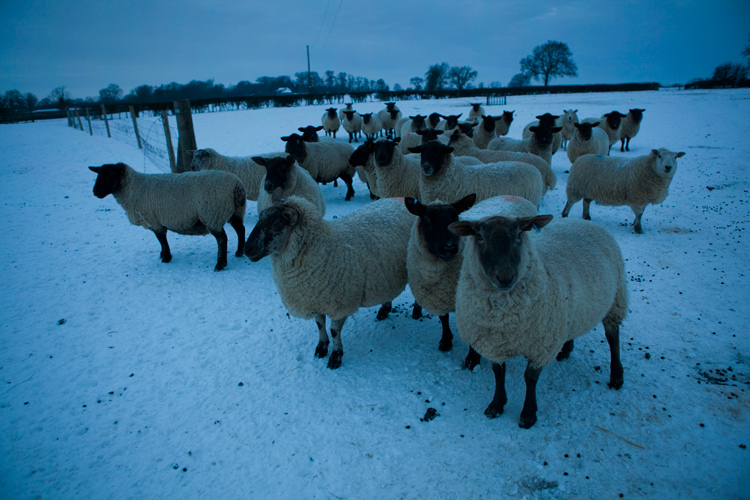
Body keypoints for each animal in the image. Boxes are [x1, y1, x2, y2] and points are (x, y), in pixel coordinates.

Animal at [89, 162, 246, 271]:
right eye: (99, 174)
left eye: (110, 174)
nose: (95, 192)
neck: (132, 189)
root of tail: (236, 185)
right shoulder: (155, 221)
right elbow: (161, 241)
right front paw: (162, 254)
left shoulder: (154, 221)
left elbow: (162, 239)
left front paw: (165, 258)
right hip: (235, 212)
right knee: (240, 230)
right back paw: (239, 252)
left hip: (213, 215)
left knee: (222, 239)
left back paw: (220, 264)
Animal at [244, 196, 413, 369]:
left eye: (277, 224)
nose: (247, 249)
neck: (323, 249)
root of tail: (401, 198)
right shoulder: (315, 300)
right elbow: (319, 325)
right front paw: (321, 347)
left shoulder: (340, 304)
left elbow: (334, 331)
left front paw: (336, 356)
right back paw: (384, 310)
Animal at [404, 194, 537, 362]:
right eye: (427, 219)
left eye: (455, 217)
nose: (449, 247)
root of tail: (513, 196)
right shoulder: (439, 297)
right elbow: (444, 318)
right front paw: (446, 341)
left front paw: (472, 358)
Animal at [448, 214, 628, 428]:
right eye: (480, 237)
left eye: (519, 235)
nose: (505, 277)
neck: (506, 321)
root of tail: (583, 221)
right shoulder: (494, 344)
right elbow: (499, 373)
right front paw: (497, 405)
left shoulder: (541, 346)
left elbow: (530, 379)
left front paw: (528, 414)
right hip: (571, 309)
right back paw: (565, 350)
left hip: (616, 300)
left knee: (613, 337)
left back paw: (616, 376)